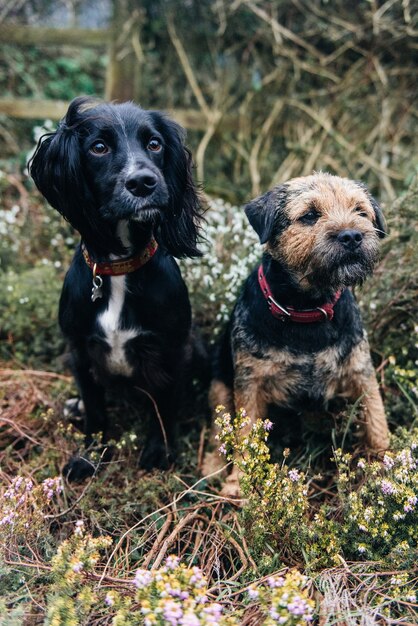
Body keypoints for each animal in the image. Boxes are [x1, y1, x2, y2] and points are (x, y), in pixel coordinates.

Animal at [30, 96, 203, 478]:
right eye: (98, 147)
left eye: (154, 144)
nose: (143, 182)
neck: (118, 268)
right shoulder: (80, 349)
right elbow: (96, 411)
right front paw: (89, 455)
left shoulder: (171, 348)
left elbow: (163, 407)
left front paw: (159, 451)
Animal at [207, 172, 390, 498]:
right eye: (309, 215)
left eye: (360, 211)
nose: (352, 236)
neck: (307, 309)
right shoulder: (249, 384)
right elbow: (244, 433)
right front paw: (237, 483)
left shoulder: (361, 371)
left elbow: (376, 419)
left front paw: (388, 465)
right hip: (218, 383)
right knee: (219, 429)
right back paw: (211, 468)